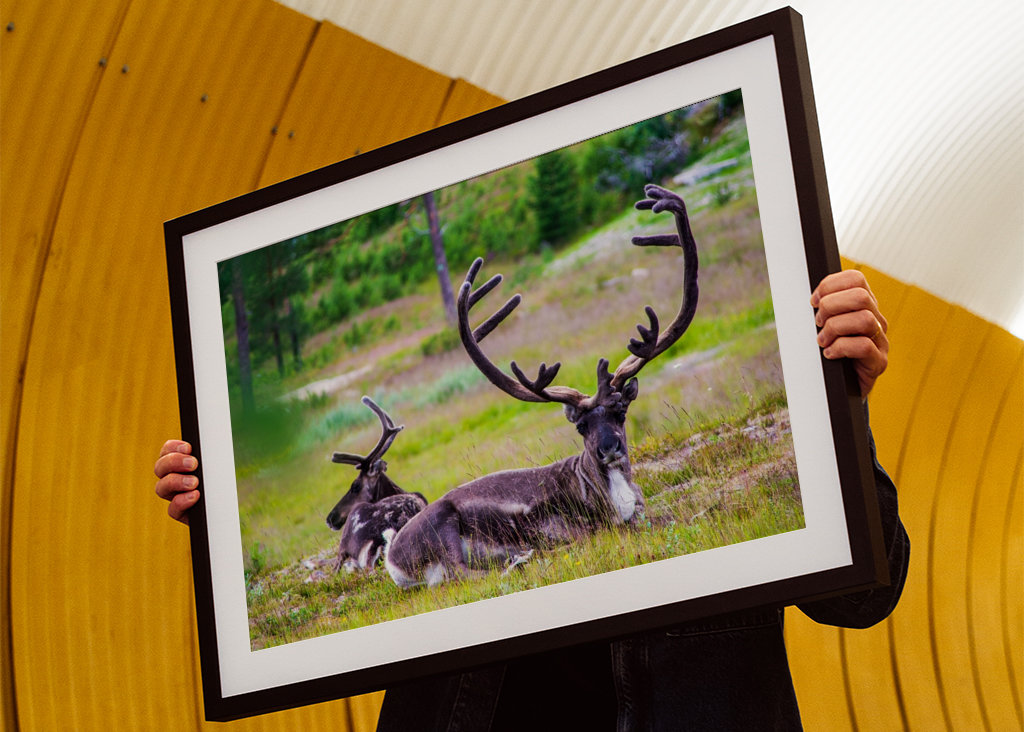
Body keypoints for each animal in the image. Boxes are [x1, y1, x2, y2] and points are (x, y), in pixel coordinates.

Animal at [382, 184, 699, 589]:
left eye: (621, 411)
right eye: (581, 426)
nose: (609, 449)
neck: (613, 493)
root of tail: (391, 559)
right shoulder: (567, 528)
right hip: (443, 527)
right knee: (459, 573)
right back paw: (519, 559)